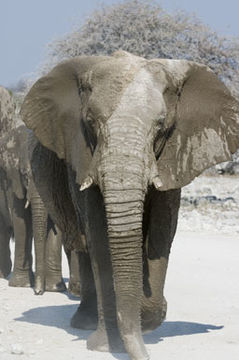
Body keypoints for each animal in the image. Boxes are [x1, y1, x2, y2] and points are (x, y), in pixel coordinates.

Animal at [0, 86, 68, 294]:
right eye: (24, 175)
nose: (39, 292)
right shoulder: (12, 180)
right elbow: (21, 220)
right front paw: (21, 286)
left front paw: (55, 288)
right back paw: (4, 275)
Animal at [20, 51, 239, 360]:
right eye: (91, 122)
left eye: (161, 125)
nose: (145, 355)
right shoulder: (84, 155)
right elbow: (100, 238)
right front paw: (108, 346)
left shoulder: (173, 156)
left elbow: (161, 234)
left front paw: (150, 317)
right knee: (85, 246)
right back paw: (85, 323)